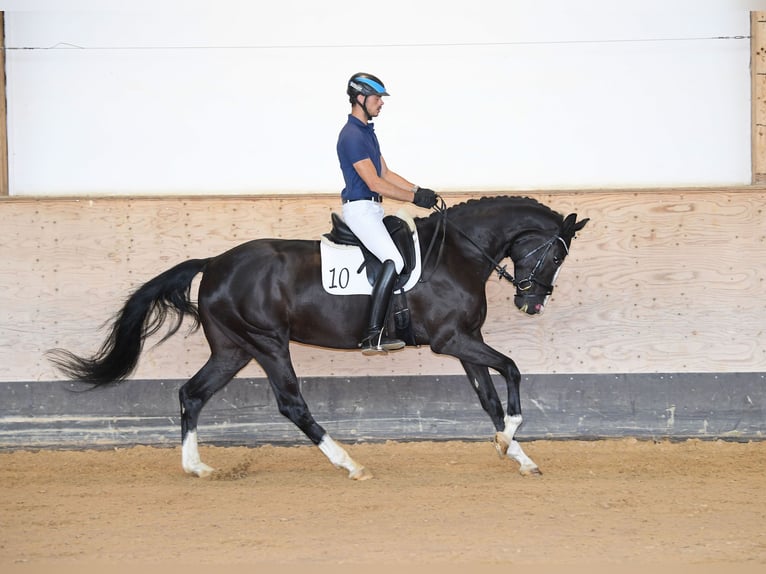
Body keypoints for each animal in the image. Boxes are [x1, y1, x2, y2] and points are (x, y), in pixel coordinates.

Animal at [48, 198, 592, 482]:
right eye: (555, 255)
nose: (531, 304)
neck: (457, 253)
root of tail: (215, 262)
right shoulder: (450, 340)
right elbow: (513, 370)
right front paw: (511, 440)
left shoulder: (466, 339)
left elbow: (489, 399)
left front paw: (517, 454)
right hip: (267, 344)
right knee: (291, 404)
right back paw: (349, 463)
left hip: (233, 349)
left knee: (192, 394)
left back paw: (197, 467)